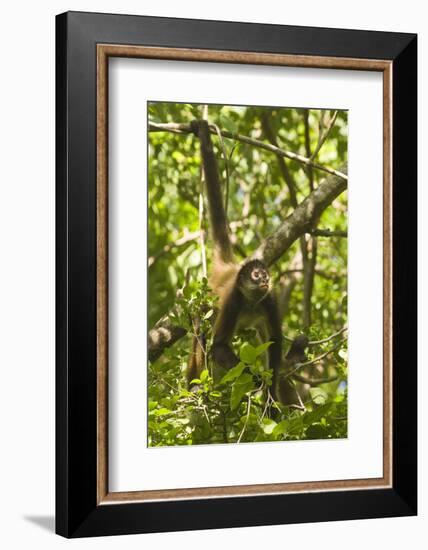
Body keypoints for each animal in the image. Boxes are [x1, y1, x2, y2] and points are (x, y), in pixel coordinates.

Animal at [188, 121, 282, 398]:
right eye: (256, 275)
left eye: (265, 275)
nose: (263, 280)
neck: (251, 302)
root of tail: (228, 267)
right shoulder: (233, 301)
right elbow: (218, 346)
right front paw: (256, 380)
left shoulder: (269, 300)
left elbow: (275, 343)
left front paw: (271, 395)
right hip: (205, 304)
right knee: (200, 335)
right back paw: (192, 387)